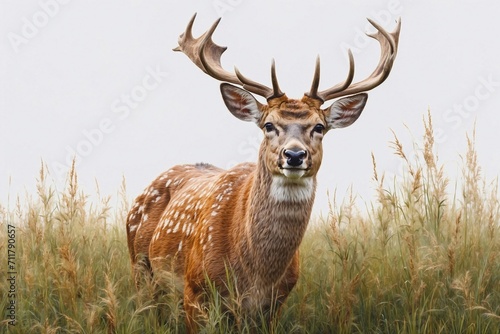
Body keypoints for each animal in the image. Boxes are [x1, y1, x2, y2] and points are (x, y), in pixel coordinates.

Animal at [127, 13, 400, 332]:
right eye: (268, 125)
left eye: (319, 127)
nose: (294, 155)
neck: (256, 275)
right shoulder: (195, 290)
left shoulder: (275, 303)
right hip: (140, 267)